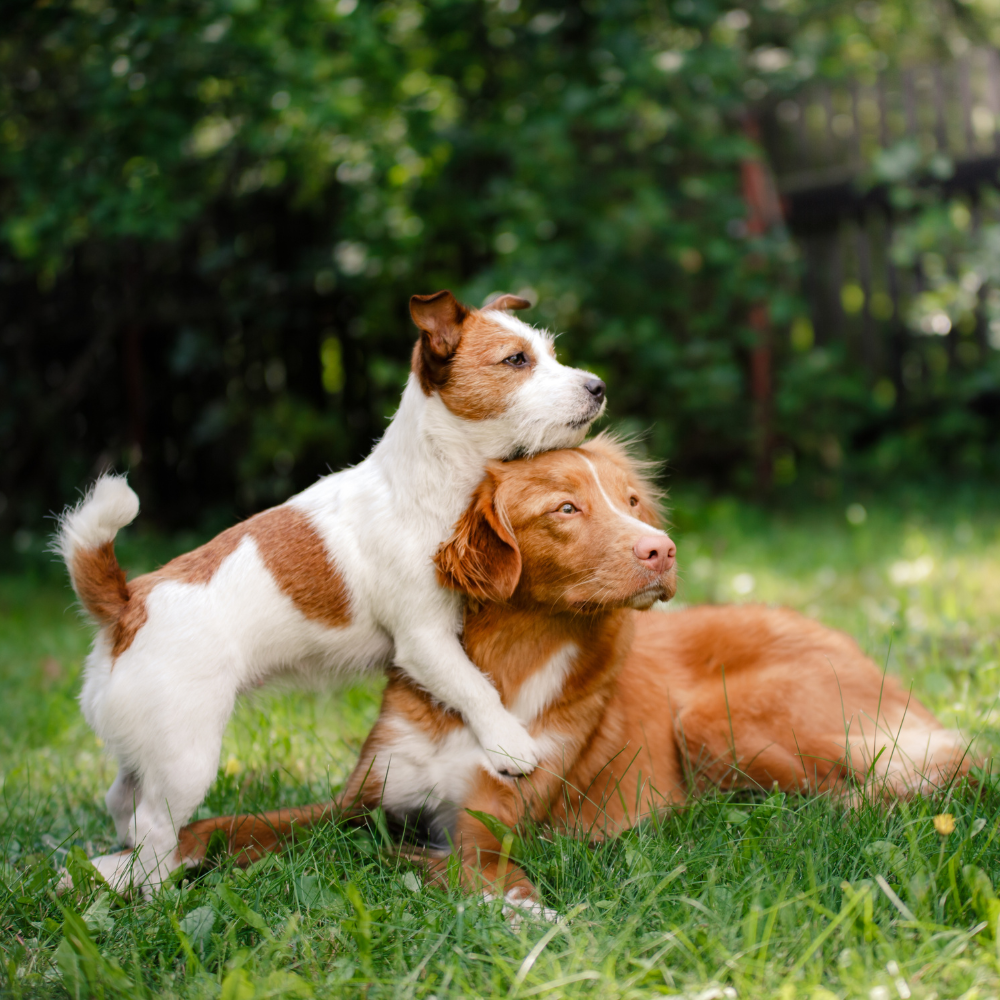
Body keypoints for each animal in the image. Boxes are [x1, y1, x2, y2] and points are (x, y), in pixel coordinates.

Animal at [56, 290, 608, 892]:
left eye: (551, 353)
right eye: (515, 360)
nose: (598, 385)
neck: (429, 482)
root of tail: (126, 605)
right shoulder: (424, 639)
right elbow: (474, 687)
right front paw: (510, 743)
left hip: (147, 749)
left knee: (123, 800)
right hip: (187, 758)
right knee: (154, 828)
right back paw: (156, 891)